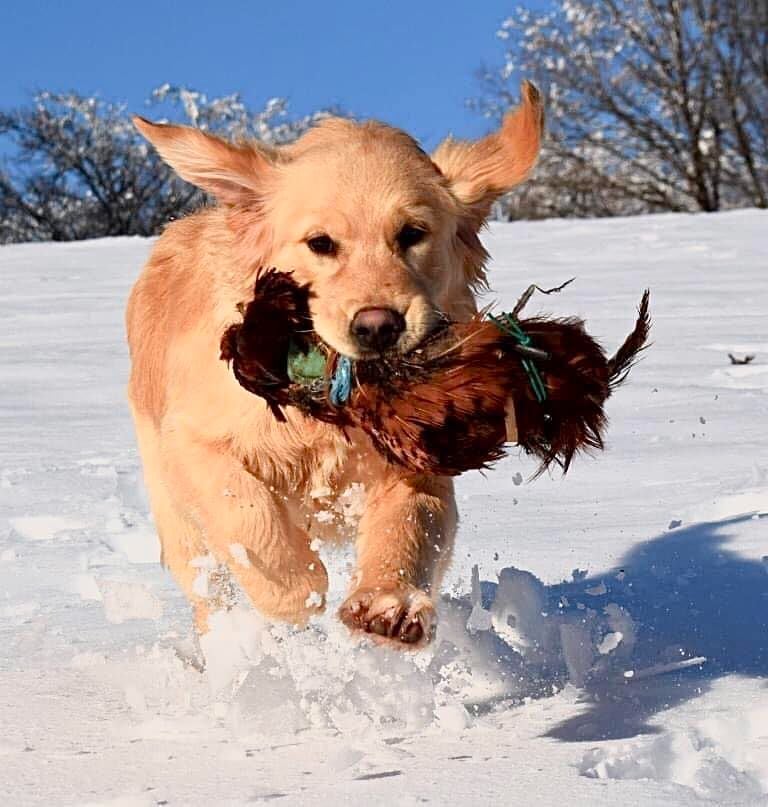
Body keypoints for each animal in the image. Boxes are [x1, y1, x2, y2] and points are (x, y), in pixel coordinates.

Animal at [126, 80, 544, 652]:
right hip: (176, 518)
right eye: (320, 243)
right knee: (209, 591)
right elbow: (247, 514)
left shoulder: (420, 458)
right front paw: (296, 589)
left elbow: (413, 520)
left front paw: (389, 603)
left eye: (412, 234)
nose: (378, 327)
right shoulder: (194, 440)